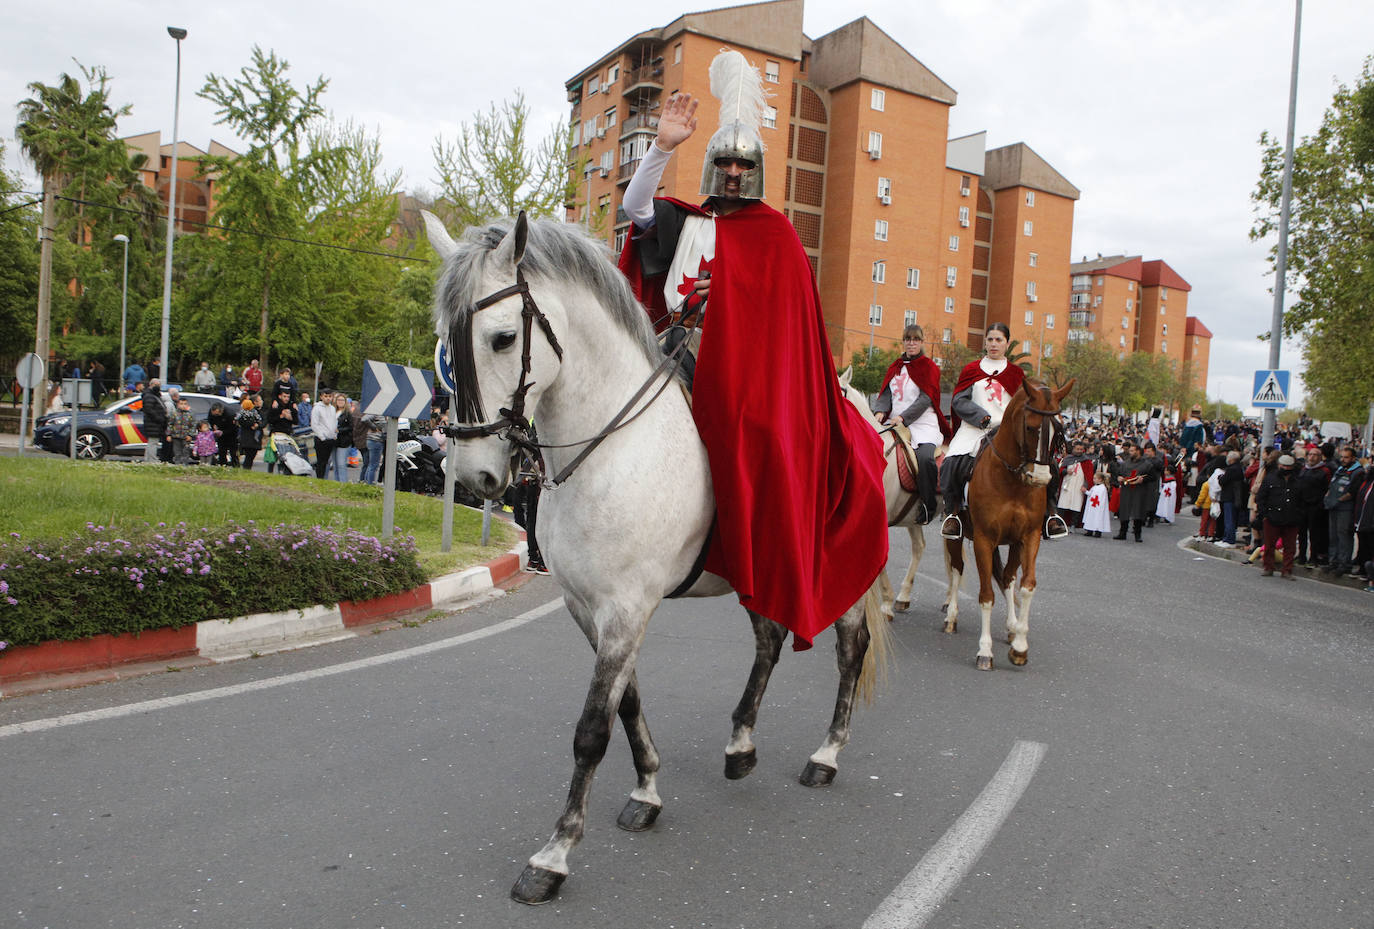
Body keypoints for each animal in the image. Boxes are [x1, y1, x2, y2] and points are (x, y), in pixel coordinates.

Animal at [425, 214, 890, 901]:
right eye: (446, 346)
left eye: (504, 338)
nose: (474, 476)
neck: (611, 444)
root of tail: (860, 409)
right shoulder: (589, 608)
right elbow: (627, 703)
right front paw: (647, 790)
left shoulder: (626, 609)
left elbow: (592, 729)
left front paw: (554, 854)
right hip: (760, 571)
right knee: (770, 638)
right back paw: (741, 744)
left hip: (839, 574)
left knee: (850, 647)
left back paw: (826, 755)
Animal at [939, 376, 1077, 667]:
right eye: (1030, 427)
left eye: (1059, 428)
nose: (1041, 478)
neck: (1012, 480)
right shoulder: (984, 539)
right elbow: (986, 596)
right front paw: (985, 651)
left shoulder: (1028, 537)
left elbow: (1025, 585)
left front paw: (1020, 646)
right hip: (957, 536)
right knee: (957, 569)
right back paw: (951, 616)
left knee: (1007, 577)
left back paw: (1012, 627)